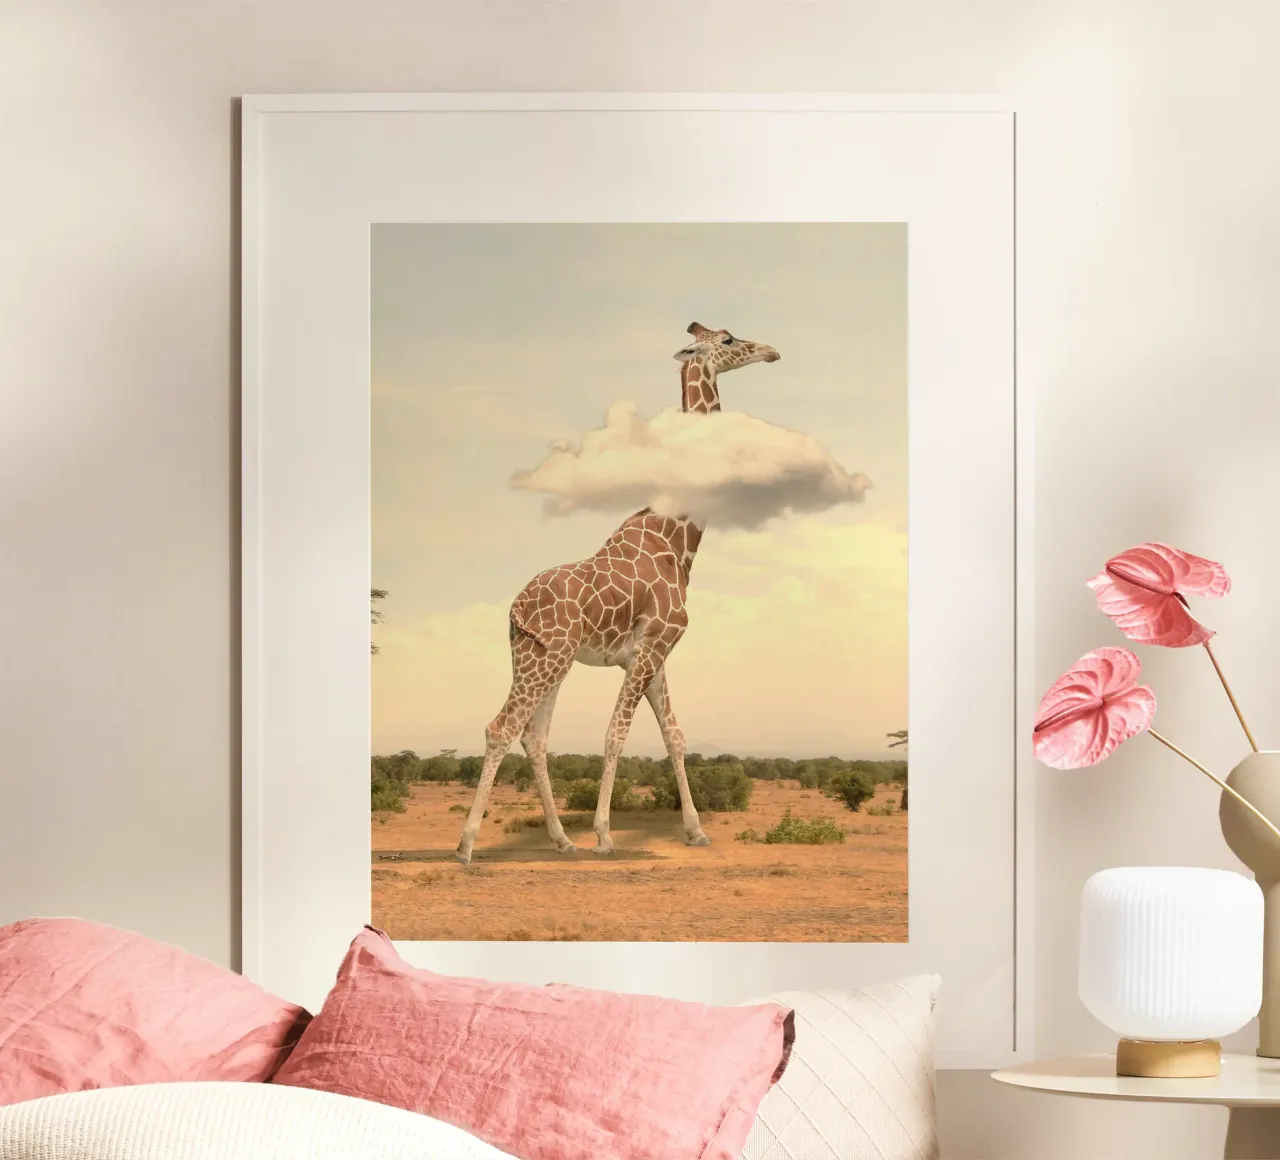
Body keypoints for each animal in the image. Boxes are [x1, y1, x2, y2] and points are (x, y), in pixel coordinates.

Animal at [455, 322, 781, 865]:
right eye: (729, 340)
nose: (771, 351)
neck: (677, 539)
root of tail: (514, 609)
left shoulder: (653, 654)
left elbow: (675, 735)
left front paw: (695, 831)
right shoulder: (651, 647)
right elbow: (616, 734)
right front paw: (605, 835)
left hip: (542, 658)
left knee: (533, 736)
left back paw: (562, 840)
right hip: (548, 658)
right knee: (502, 727)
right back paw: (466, 845)